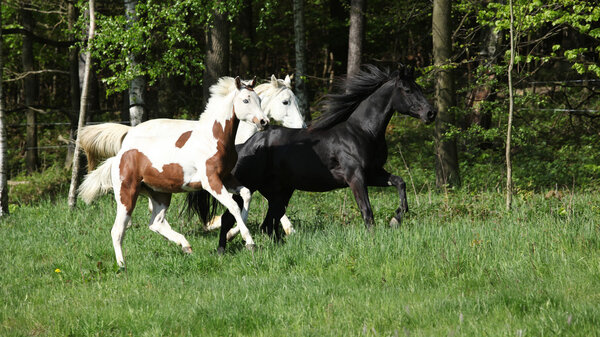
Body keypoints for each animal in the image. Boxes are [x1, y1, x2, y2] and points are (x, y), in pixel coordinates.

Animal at [188, 64, 436, 251]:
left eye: (418, 88)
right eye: (407, 89)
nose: (431, 113)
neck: (362, 132)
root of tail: (245, 145)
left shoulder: (374, 173)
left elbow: (400, 183)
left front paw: (395, 220)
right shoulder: (356, 177)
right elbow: (367, 211)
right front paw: (373, 239)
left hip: (280, 192)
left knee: (268, 224)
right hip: (249, 186)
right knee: (232, 217)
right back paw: (223, 251)